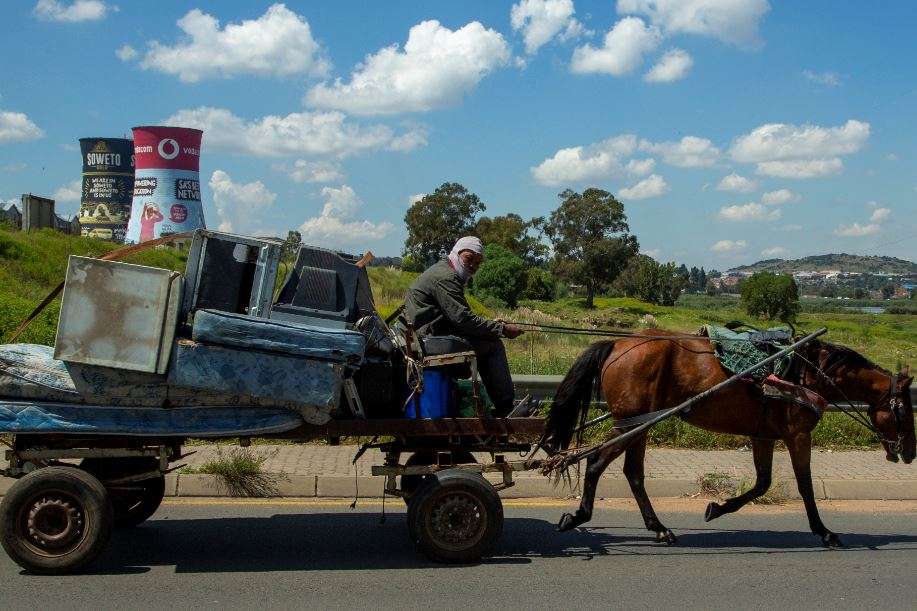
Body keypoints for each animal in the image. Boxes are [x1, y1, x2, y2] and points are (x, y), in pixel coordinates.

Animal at [544, 332, 908, 548]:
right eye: (904, 408)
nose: (909, 452)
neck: (808, 374)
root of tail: (618, 345)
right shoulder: (798, 434)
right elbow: (804, 486)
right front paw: (825, 531)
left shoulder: (763, 434)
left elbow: (763, 483)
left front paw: (717, 508)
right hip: (629, 425)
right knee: (596, 462)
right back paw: (579, 516)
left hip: (639, 425)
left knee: (632, 474)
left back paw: (657, 527)